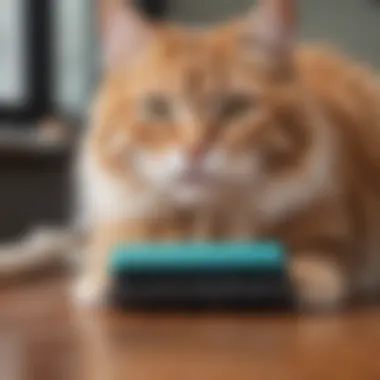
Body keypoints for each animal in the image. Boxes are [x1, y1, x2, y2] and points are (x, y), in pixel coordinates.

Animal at [2, 0, 380, 314]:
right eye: (158, 108)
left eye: (235, 108)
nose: (195, 150)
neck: (203, 228)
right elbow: (109, 256)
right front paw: (97, 284)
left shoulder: (331, 230)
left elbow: (318, 253)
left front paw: (305, 276)